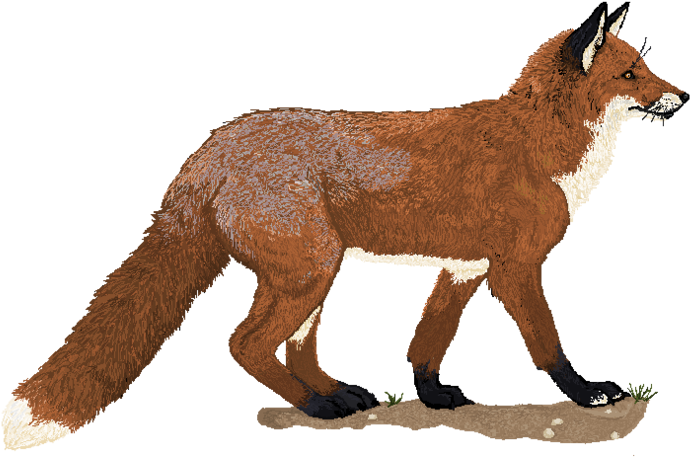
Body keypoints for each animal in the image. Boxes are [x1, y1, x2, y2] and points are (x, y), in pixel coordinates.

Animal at [2, 5, 685, 451]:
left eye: (645, 66)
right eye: (630, 74)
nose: (682, 96)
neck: (543, 146)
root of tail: (215, 144)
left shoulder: (465, 269)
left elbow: (425, 344)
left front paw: (432, 396)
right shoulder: (517, 269)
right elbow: (548, 344)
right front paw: (586, 393)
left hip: (314, 277)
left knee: (295, 347)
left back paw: (339, 394)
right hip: (310, 270)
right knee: (246, 344)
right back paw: (316, 405)